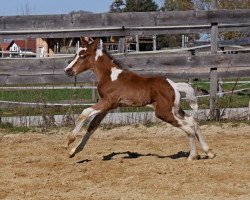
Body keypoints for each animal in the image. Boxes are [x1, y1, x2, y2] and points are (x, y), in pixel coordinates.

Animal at [64, 37, 215, 160]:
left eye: (82, 56)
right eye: (76, 54)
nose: (67, 70)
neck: (110, 76)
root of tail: (174, 85)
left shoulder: (108, 102)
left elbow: (85, 113)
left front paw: (69, 141)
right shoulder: (107, 107)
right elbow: (93, 126)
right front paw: (74, 151)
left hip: (163, 112)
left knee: (189, 128)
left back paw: (192, 156)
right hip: (175, 110)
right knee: (193, 122)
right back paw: (209, 152)